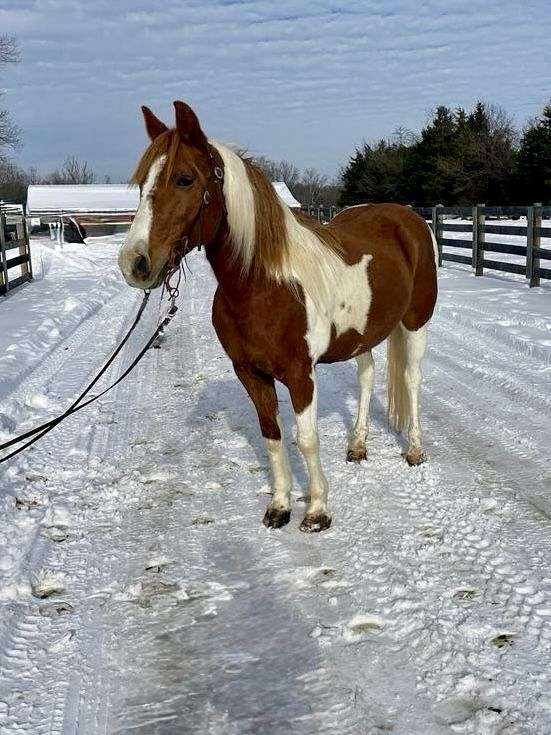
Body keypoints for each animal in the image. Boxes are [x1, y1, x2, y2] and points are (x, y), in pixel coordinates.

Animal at [118, 99, 438, 536]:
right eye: (141, 183)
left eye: (184, 179)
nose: (134, 263)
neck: (266, 286)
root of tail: (409, 219)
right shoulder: (250, 372)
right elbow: (272, 435)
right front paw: (280, 506)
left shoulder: (301, 374)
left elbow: (306, 439)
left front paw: (317, 511)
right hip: (362, 334)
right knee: (367, 375)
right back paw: (357, 446)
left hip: (416, 324)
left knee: (411, 380)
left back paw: (415, 450)